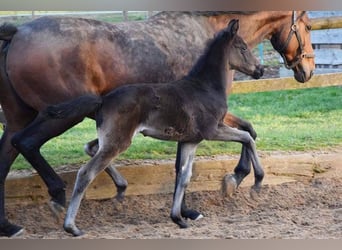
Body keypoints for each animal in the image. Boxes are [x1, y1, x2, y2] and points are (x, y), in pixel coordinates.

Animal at [42, 20, 264, 236]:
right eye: (243, 47)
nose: (260, 70)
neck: (205, 87)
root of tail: (103, 100)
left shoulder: (190, 140)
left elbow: (184, 176)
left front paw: (178, 218)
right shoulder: (212, 130)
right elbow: (247, 136)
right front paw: (257, 183)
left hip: (113, 138)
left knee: (90, 147)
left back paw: (120, 188)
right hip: (118, 141)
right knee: (86, 173)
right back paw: (72, 227)